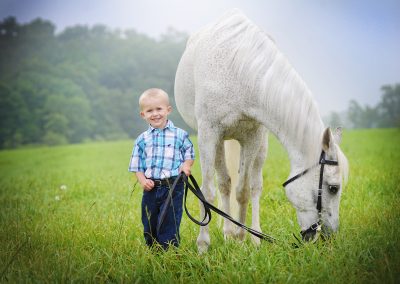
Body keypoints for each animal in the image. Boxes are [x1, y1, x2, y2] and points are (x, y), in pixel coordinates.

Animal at [174, 9, 346, 253]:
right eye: (333, 188)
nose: (330, 236)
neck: (239, 71)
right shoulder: (208, 134)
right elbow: (208, 191)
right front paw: (203, 245)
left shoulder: (252, 137)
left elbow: (244, 190)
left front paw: (241, 238)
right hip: (218, 142)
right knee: (223, 183)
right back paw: (226, 232)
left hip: (259, 146)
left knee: (251, 185)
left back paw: (250, 236)